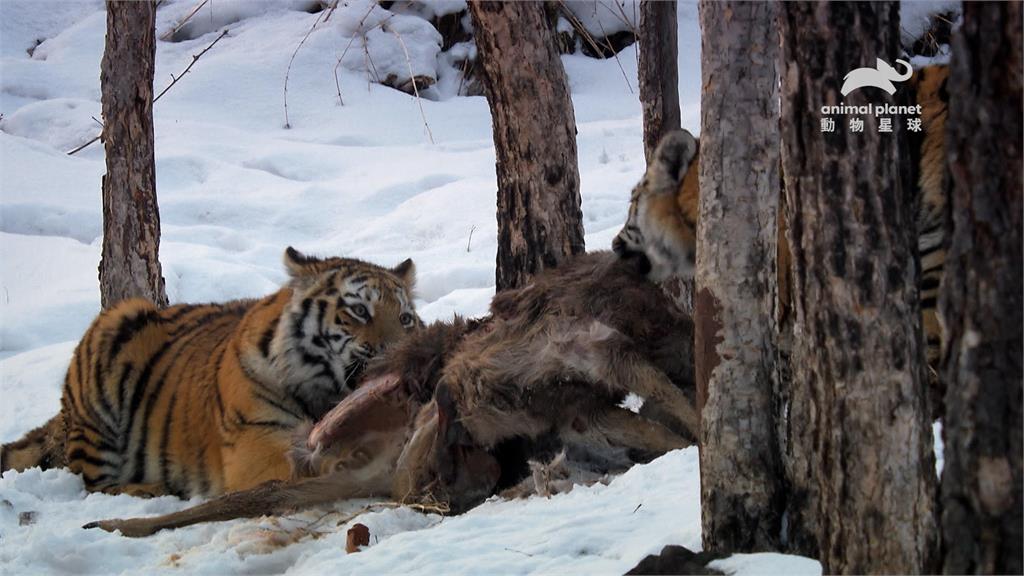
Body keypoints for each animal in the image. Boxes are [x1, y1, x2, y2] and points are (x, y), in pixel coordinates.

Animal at [0, 243, 421, 496]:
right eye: (359, 310)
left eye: (405, 319)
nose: (401, 350)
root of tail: (63, 415)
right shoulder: (255, 446)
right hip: (116, 334)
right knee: (97, 484)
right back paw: (152, 489)